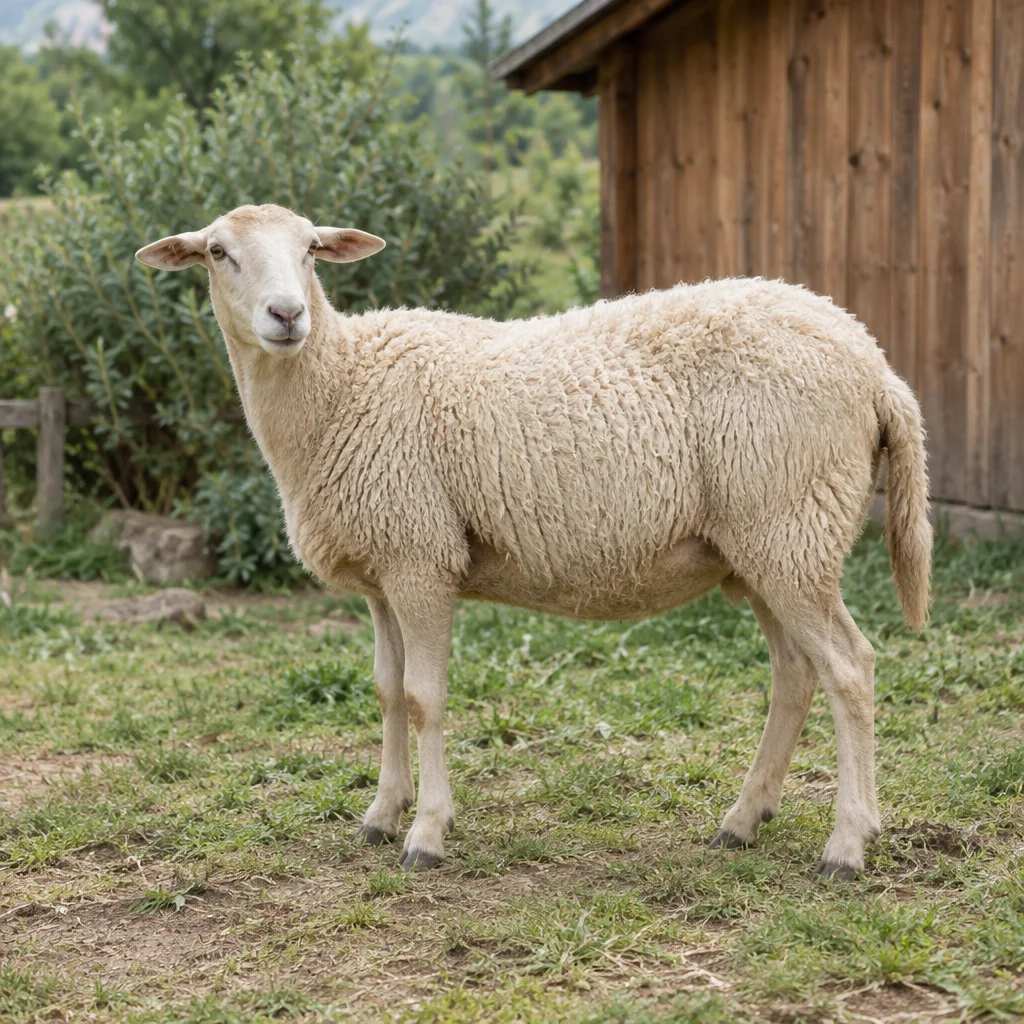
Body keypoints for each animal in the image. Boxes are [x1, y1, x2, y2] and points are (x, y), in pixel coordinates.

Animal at [137, 203, 932, 878]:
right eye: (218, 252)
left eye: (309, 249)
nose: (287, 314)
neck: (342, 384)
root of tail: (876, 364)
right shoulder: (382, 570)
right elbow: (387, 691)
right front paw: (381, 814)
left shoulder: (422, 556)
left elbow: (423, 697)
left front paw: (426, 833)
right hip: (764, 544)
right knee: (796, 673)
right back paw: (743, 820)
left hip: (791, 523)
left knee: (850, 668)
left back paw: (847, 843)